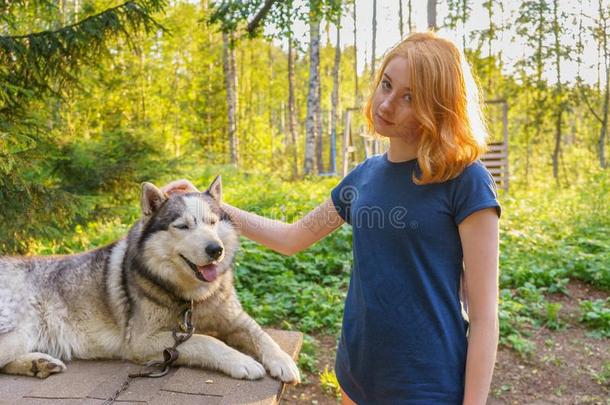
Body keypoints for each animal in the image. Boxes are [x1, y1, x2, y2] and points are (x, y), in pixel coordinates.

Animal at [0, 177, 300, 382]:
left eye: (213, 222)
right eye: (183, 226)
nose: (216, 250)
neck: (191, 297)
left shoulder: (235, 319)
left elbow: (260, 334)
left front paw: (283, 361)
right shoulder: (142, 342)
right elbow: (205, 340)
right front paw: (241, 361)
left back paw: (38, 365)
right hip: (21, 332)